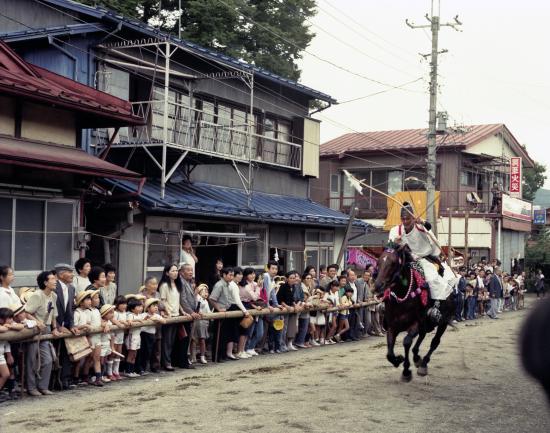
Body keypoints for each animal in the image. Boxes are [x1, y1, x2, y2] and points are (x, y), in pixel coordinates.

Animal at [376, 245, 458, 380]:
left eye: (393, 263)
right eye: (378, 262)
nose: (378, 286)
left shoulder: (415, 323)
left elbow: (406, 342)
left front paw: (406, 371)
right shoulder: (392, 326)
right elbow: (389, 352)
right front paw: (398, 360)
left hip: (443, 322)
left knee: (435, 342)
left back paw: (423, 364)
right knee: (422, 336)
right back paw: (417, 358)